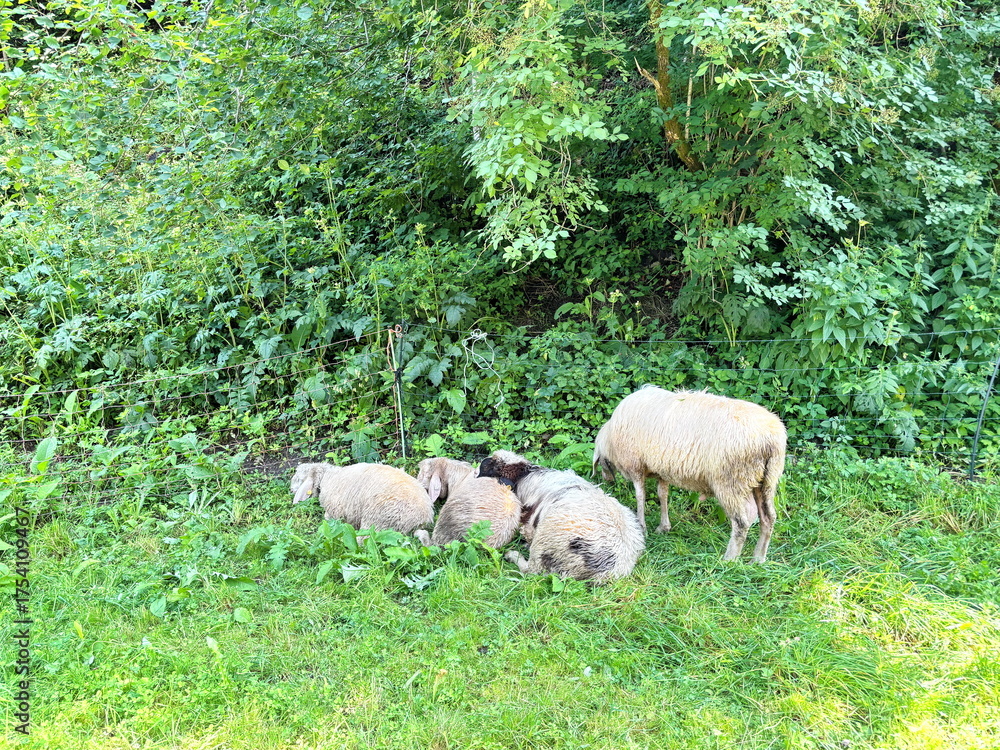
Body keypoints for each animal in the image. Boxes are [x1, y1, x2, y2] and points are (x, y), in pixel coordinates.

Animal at [290, 462, 433, 534]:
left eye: (298, 478)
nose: (291, 489)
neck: (329, 477)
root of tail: (422, 518)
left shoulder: (336, 511)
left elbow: (327, 517)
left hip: (377, 521)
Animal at [477, 450, 645, 584]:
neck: (524, 475)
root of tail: (611, 569)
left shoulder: (530, 526)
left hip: (547, 541)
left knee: (532, 571)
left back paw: (512, 555)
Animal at [592, 386, 786, 562]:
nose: (606, 480)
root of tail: (770, 438)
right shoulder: (662, 470)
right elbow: (662, 494)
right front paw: (664, 527)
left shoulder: (636, 466)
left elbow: (641, 496)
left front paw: (642, 526)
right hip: (766, 481)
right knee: (768, 518)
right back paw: (758, 559)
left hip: (731, 481)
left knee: (741, 522)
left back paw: (729, 560)